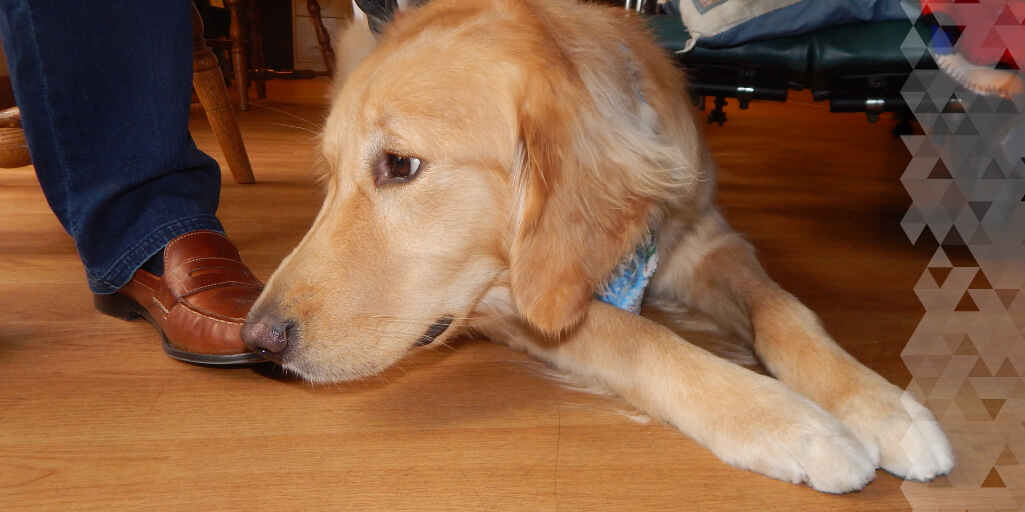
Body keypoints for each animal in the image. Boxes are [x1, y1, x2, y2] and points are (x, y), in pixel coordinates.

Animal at [243, 0, 955, 493]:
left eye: (399, 164)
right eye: (330, 174)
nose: (256, 339)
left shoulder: (704, 242)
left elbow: (784, 311)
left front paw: (880, 407)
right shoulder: (511, 301)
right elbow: (641, 336)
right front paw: (793, 424)